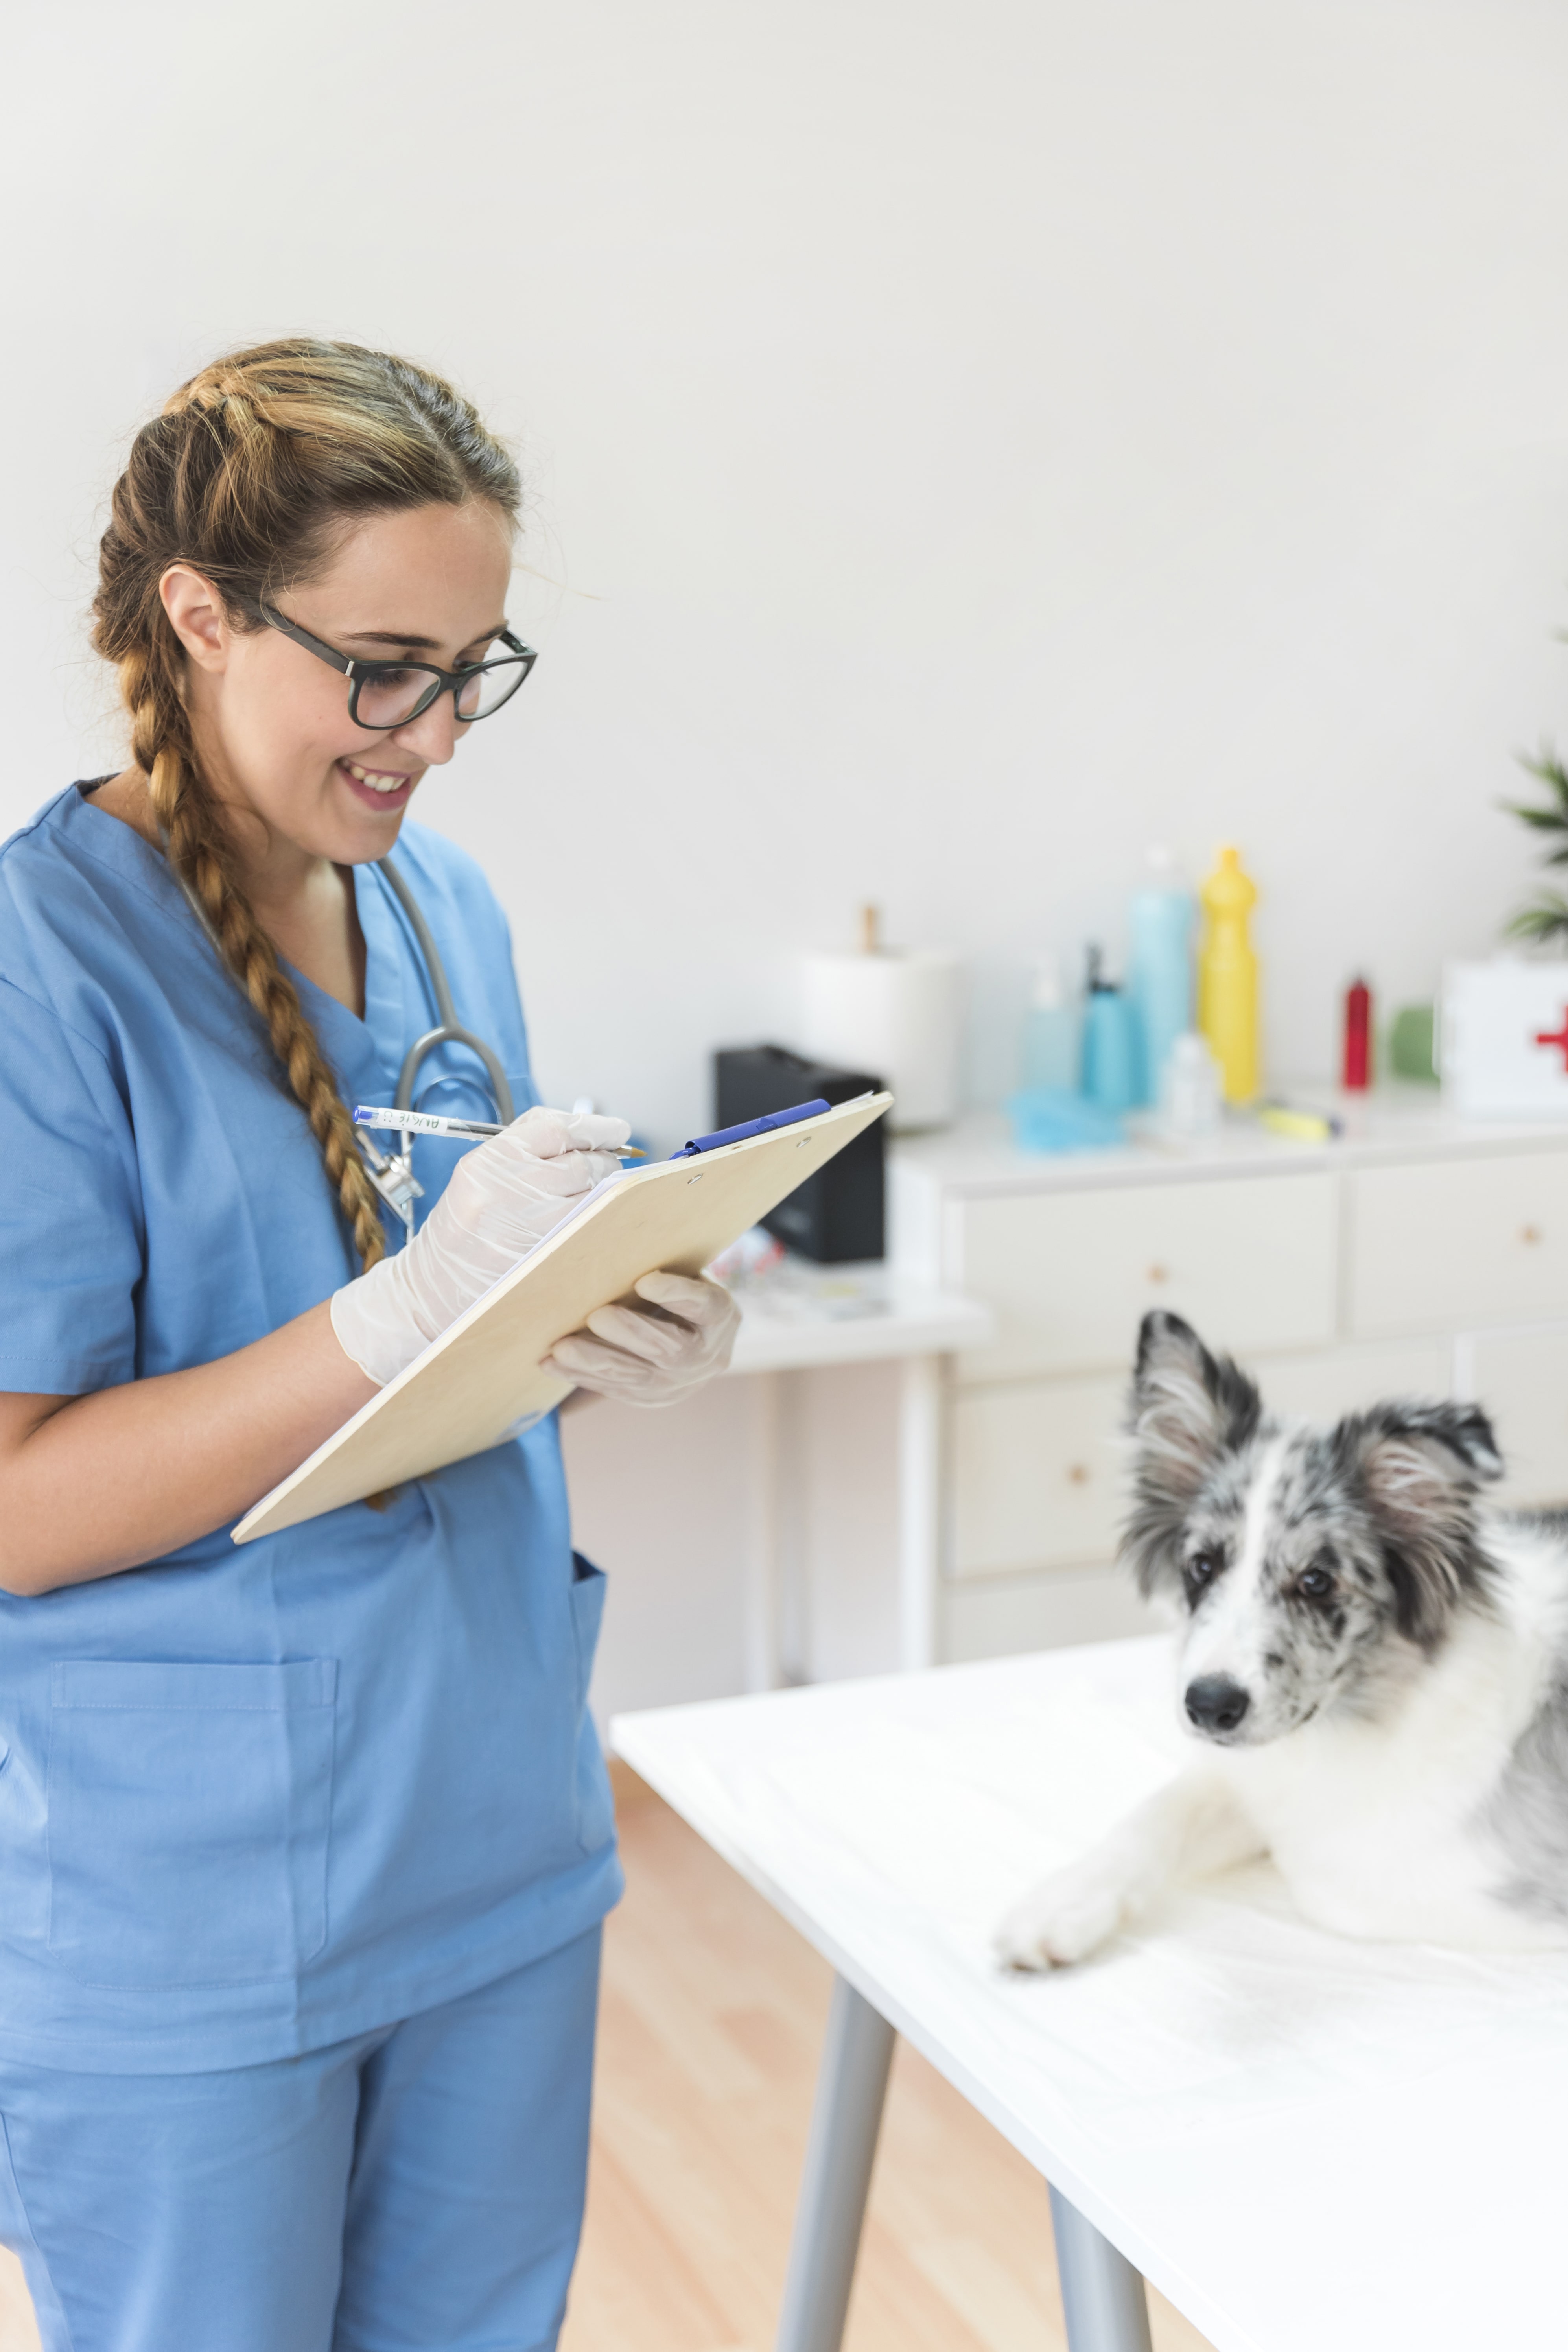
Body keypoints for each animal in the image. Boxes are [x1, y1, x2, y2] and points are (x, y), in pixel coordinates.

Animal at [1001, 1307, 1568, 1966]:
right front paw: (1057, 1905)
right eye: (1201, 1566)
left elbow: (1318, 1879)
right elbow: (1166, 1805)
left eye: (1316, 1582)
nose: (1208, 1707)